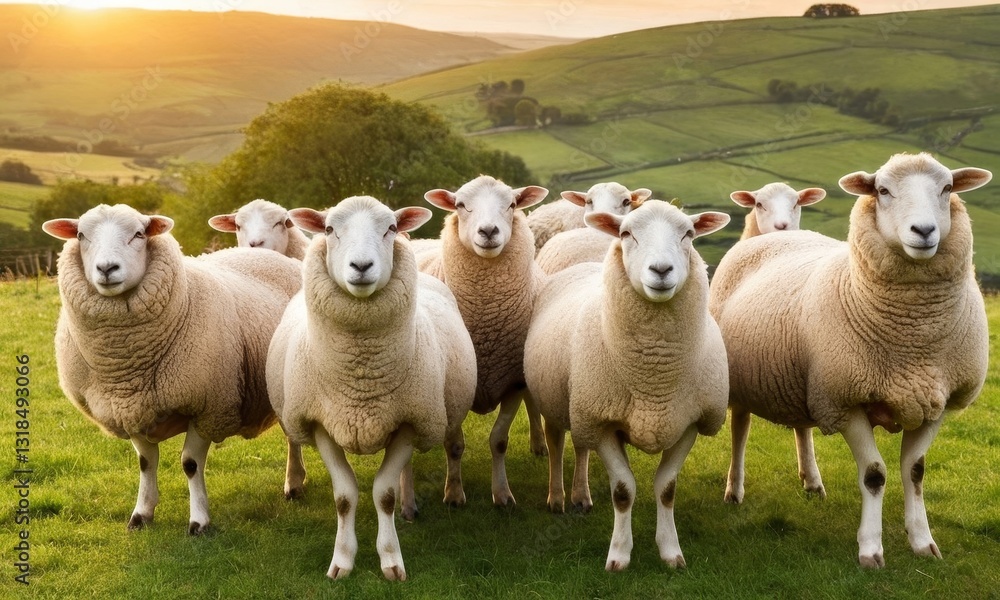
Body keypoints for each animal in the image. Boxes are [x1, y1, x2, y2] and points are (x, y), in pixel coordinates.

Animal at [42, 203, 302, 534]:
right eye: (80, 235)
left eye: (139, 234)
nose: (107, 268)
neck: (127, 364)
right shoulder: (130, 407)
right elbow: (146, 463)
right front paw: (141, 514)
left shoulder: (208, 407)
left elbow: (190, 464)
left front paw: (199, 521)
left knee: (293, 437)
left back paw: (294, 484)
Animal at [265, 196, 476, 580]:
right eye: (329, 229)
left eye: (390, 228)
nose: (361, 266)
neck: (360, 379)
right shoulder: (320, 424)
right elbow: (344, 497)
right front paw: (342, 561)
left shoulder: (409, 421)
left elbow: (384, 494)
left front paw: (391, 560)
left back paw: (423, 502)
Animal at [420, 174, 550, 505]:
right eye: (460, 205)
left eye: (512, 204)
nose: (489, 231)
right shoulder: (455, 383)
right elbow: (453, 445)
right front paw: (454, 493)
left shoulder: (514, 380)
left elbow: (499, 441)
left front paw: (502, 494)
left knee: (534, 403)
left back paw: (539, 445)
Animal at [525, 200, 731, 571]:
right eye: (625, 233)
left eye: (688, 233)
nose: (661, 270)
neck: (654, 377)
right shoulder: (605, 423)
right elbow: (623, 491)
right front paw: (619, 555)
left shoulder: (689, 423)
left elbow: (667, 489)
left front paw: (671, 552)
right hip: (559, 399)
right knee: (557, 443)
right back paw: (557, 497)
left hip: (584, 406)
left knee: (581, 445)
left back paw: (580, 495)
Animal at [729, 182, 829, 497]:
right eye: (759, 204)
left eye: (797, 203)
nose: (782, 227)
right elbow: (740, 425)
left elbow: (803, 426)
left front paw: (811, 478)